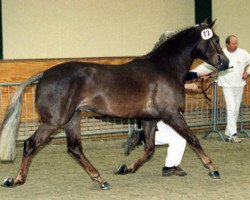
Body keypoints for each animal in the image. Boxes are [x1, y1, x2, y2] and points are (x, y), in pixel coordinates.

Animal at [0, 20, 229, 191]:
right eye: (217, 40)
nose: (225, 63)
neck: (165, 68)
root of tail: (45, 74)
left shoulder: (149, 120)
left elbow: (149, 149)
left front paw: (126, 168)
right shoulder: (172, 114)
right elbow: (192, 139)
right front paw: (213, 168)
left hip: (72, 119)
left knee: (75, 148)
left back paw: (100, 179)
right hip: (53, 122)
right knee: (31, 144)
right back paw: (16, 180)